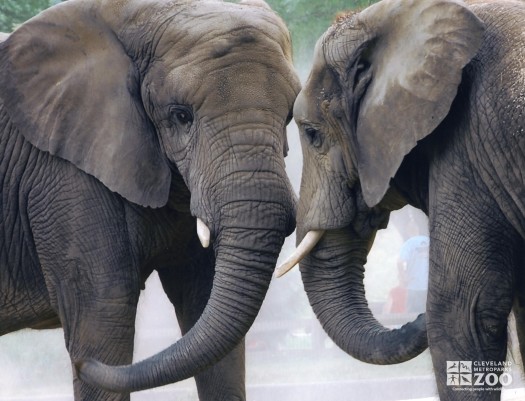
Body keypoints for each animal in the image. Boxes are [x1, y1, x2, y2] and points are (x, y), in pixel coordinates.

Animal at [0, 0, 300, 398]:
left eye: (290, 115)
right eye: (180, 115)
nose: (78, 365)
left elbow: (206, 306)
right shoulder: (64, 175)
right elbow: (103, 315)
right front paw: (93, 357)